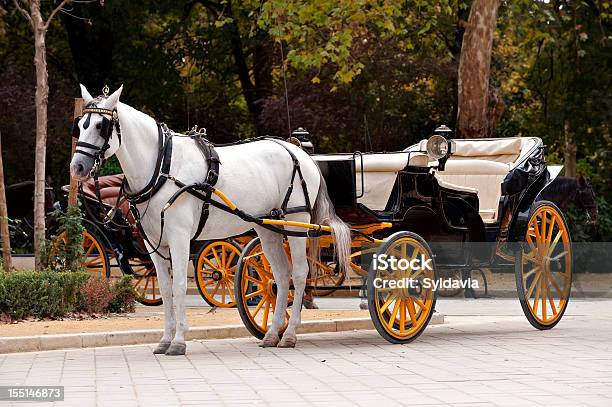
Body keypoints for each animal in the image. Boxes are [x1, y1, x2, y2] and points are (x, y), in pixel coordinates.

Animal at [70, 84, 352, 356]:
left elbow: (180, 285)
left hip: (296, 222)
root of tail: (300, 153)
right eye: (81, 125)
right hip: (268, 228)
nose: (77, 167)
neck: (163, 166)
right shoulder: (153, 243)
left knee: (300, 273)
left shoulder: (179, 238)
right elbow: (165, 288)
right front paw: (164, 340)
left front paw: (179, 341)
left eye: (101, 126)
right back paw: (273, 334)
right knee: (281, 276)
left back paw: (291, 333)